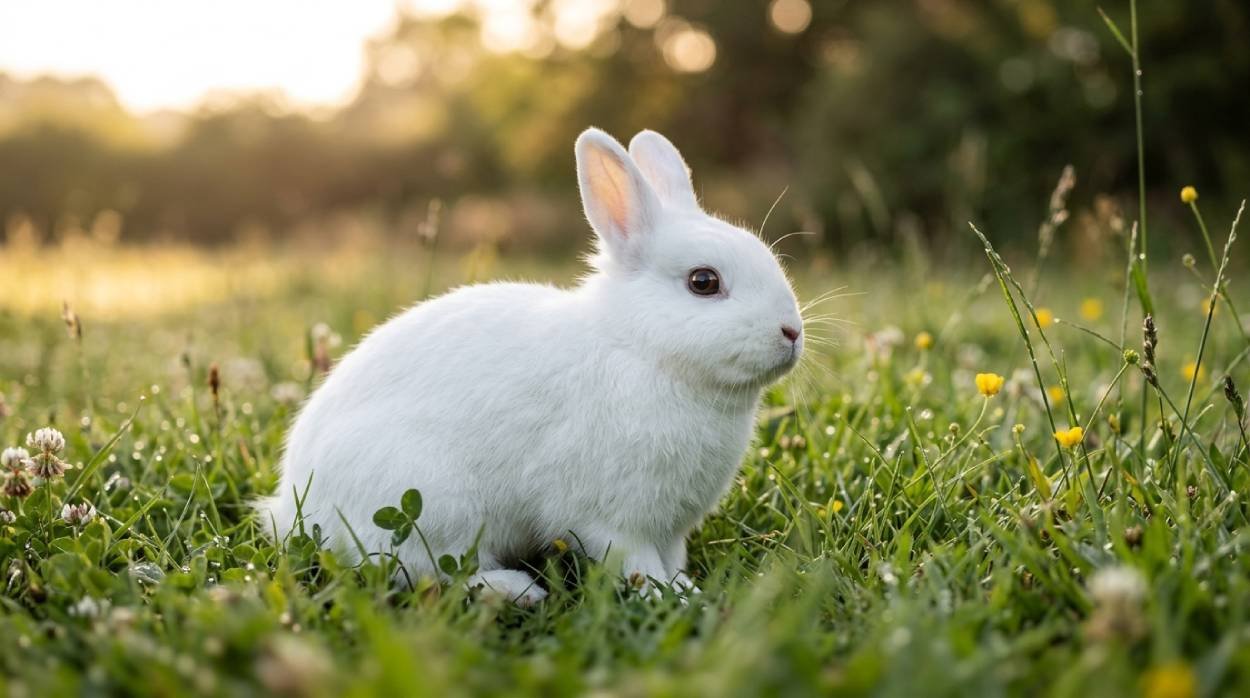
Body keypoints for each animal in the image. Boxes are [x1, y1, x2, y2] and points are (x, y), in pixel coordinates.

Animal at [259, 127, 804, 605]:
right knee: (426, 572)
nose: (792, 332)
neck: (639, 349)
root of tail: (290, 507)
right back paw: (515, 591)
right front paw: (668, 598)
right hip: (435, 505)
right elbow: (636, 563)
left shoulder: (669, 528)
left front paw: (685, 589)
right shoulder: (611, 518)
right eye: (703, 282)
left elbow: (670, 560)